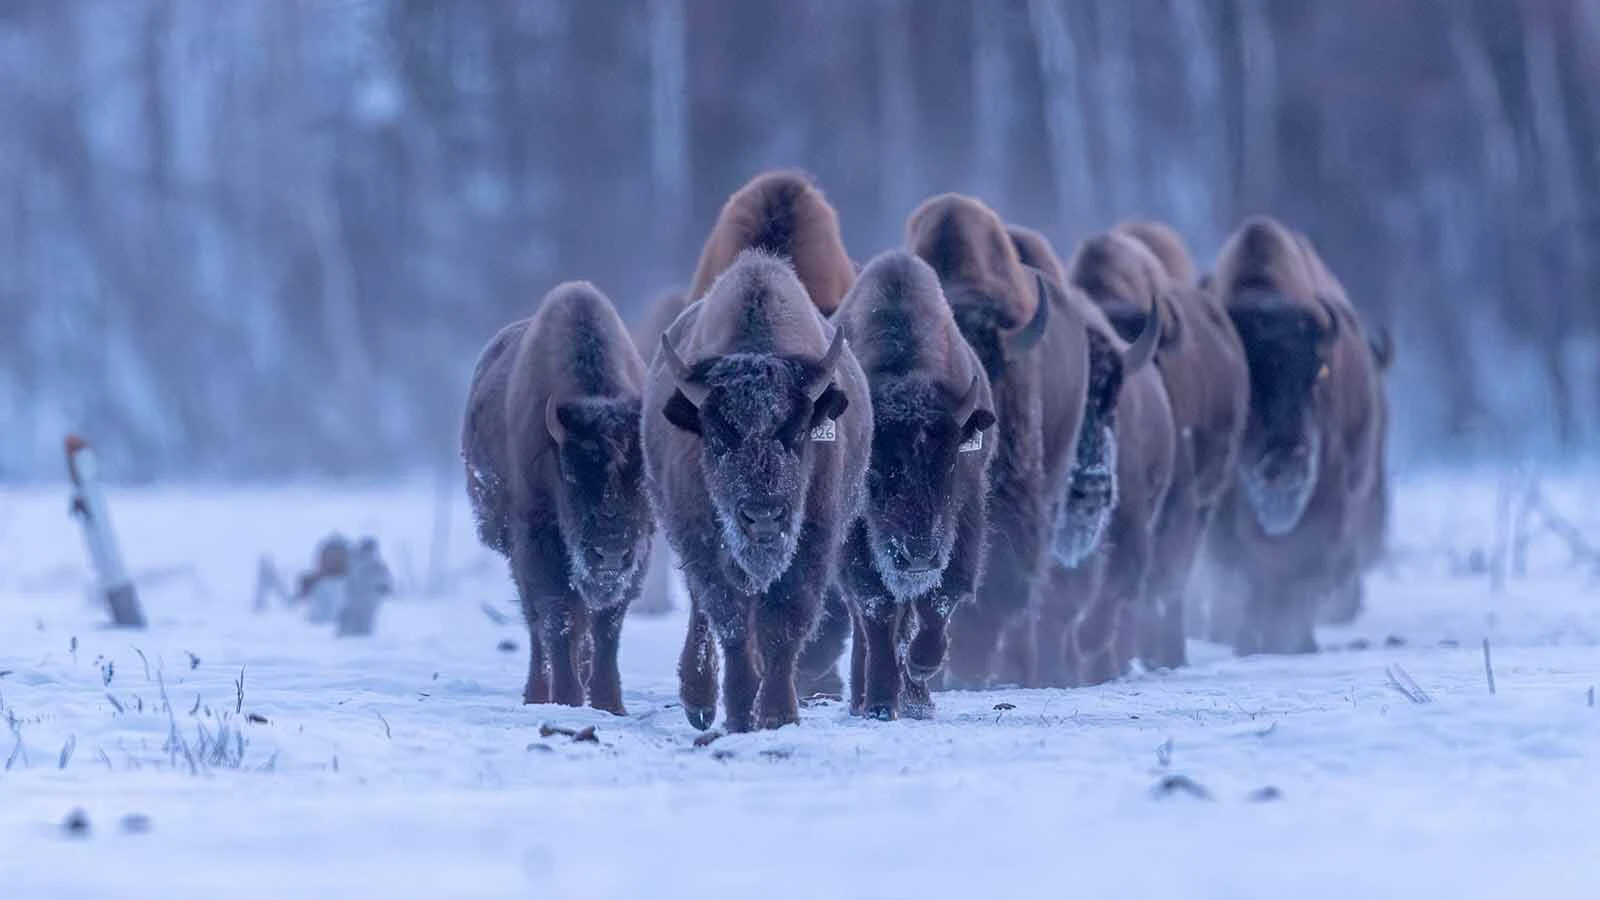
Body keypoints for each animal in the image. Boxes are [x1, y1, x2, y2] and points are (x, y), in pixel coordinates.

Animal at [461, 282, 654, 713]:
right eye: (571, 474)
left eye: (643, 475)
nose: (610, 553)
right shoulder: (538, 538)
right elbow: (557, 618)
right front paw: (567, 699)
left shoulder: (638, 553)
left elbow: (607, 626)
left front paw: (609, 704)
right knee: (537, 622)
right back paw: (536, 694)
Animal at [1207, 216, 1385, 655]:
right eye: (1245, 380)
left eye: (1317, 372)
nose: (1286, 460)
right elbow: (1247, 573)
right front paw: (1252, 640)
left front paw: (1290, 639)